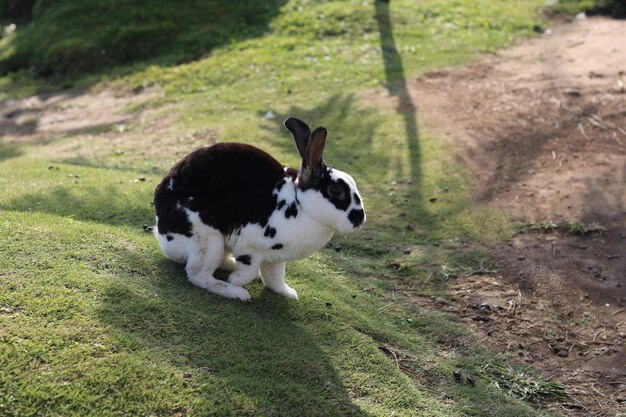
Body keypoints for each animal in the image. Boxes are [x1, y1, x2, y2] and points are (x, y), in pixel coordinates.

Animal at [153, 115, 364, 300]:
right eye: (335, 191)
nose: (359, 219)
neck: (301, 205)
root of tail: (162, 232)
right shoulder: (250, 248)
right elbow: (249, 269)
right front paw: (236, 281)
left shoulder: (276, 258)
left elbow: (274, 278)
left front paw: (288, 293)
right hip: (208, 241)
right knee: (198, 274)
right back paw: (235, 292)